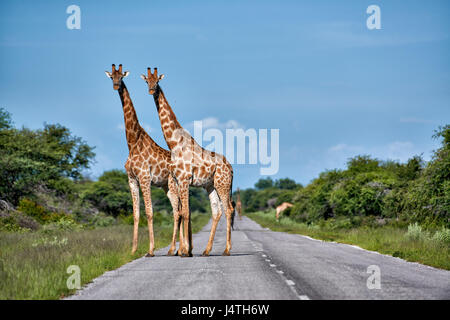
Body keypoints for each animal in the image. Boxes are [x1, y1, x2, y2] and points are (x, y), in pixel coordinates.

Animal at [105, 63, 181, 256]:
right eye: (111, 77)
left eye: (121, 77)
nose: (116, 86)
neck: (132, 142)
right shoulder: (132, 179)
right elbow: (136, 213)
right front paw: (133, 250)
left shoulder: (145, 178)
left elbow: (149, 212)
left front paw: (151, 249)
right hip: (165, 186)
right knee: (178, 210)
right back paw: (176, 248)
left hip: (172, 184)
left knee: (178, 211)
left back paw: (175, 249)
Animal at [141, 67, 234, 258]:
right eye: (147, 81)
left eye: (157, 81)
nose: (151, 90)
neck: (174, 143)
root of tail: (231, 168)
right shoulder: (178, 181)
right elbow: (183, 212)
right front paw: (185, 250)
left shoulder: (184, 180)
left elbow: (184, 212)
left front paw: (184, 251)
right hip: (210, 185)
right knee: (217, 211)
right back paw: (206, 250)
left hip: (223, 184)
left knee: (228, 209)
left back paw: (227, 250)